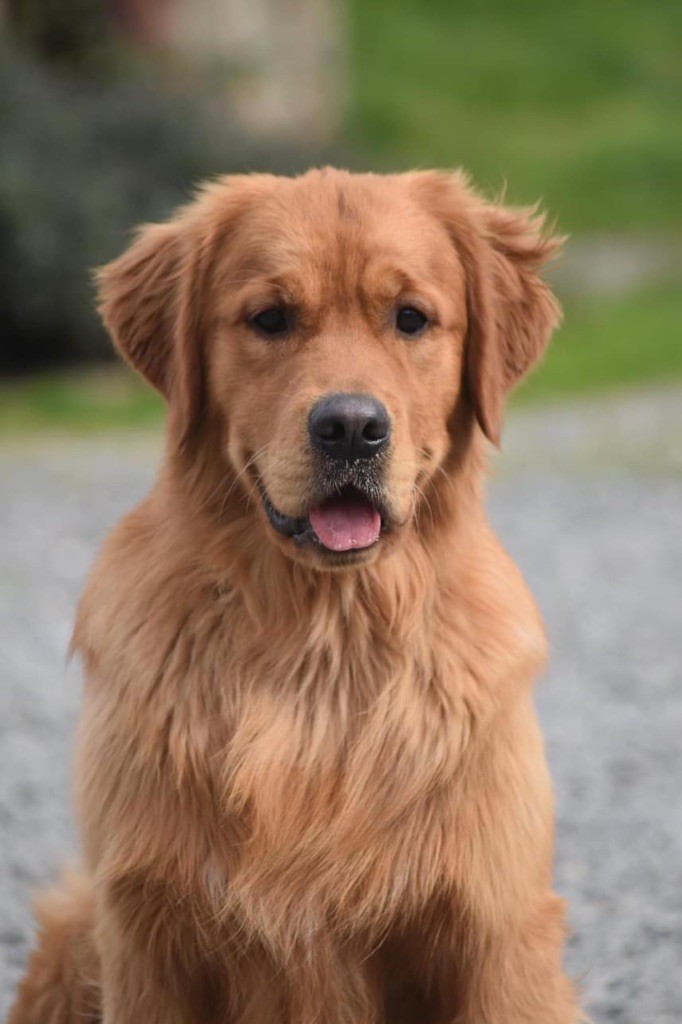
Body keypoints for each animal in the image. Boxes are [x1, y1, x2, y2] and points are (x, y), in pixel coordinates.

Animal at [9, 169, 577, 1024]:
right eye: (269, 319)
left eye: (410, 318)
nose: (349, 427)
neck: (323, 639)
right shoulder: (146, 933)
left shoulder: (495, 933)